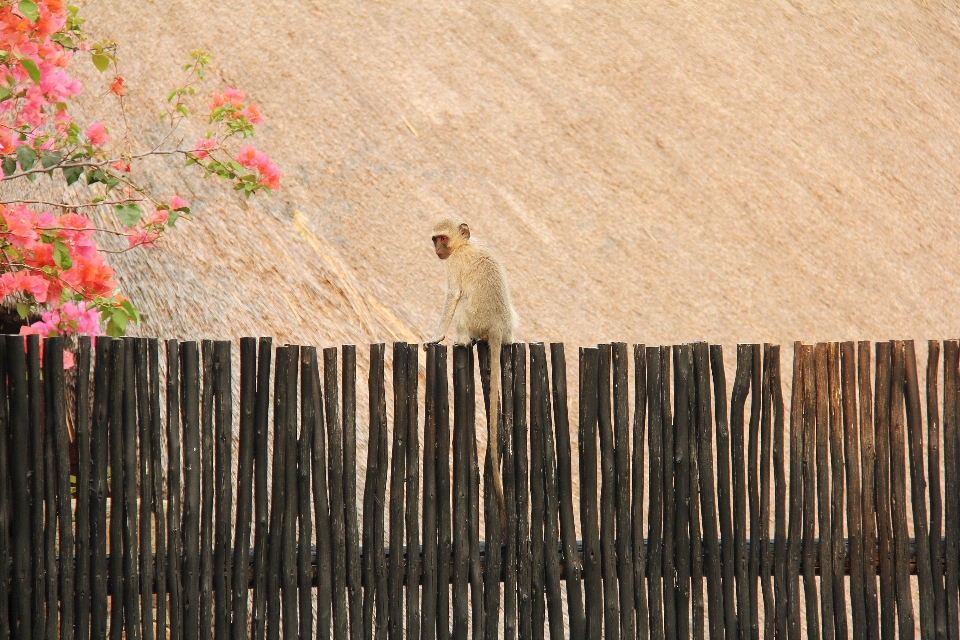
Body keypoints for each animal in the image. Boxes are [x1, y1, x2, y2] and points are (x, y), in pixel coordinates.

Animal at [426, 220, 516, 528]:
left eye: (442, 239)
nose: (437, 249)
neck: (465, 245)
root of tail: (498, 327)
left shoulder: (455, 265)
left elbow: (453, 295)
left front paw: (437, 336)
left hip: (474, 319)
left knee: (462, 304)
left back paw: (463, 341)